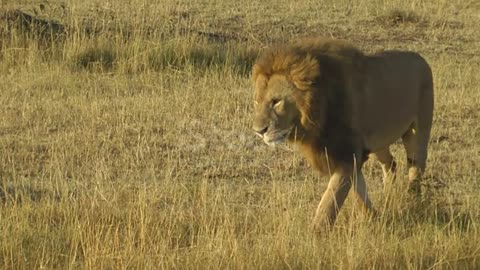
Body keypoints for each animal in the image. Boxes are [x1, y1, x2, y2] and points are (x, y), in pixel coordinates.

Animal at [253, 38, 434, 231]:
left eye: (276, 101)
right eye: (256, 102)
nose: (258, 131)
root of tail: (421, 58)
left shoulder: (347, 156)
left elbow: (329, 202)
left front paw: (315, 234)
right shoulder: (346, 155)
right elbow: (359, 193)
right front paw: (375, 219)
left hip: (418, 131)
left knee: (416, 167)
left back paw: (413, 199)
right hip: (379, 141)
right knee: (391, 163)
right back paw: (388, 197)